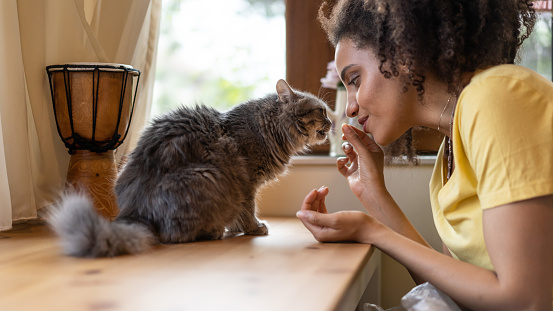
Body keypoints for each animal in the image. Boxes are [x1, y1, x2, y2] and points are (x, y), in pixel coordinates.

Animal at [47, 80, 330, 258]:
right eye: (321, 110)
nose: (331, 121)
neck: (267, 129)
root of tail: (137, 211)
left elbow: (241, 214)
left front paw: (238, 228)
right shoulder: (247, 182)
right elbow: (248, 210)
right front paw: (253, 228)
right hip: (207, 176)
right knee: (175, 235)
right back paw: (213, 232)